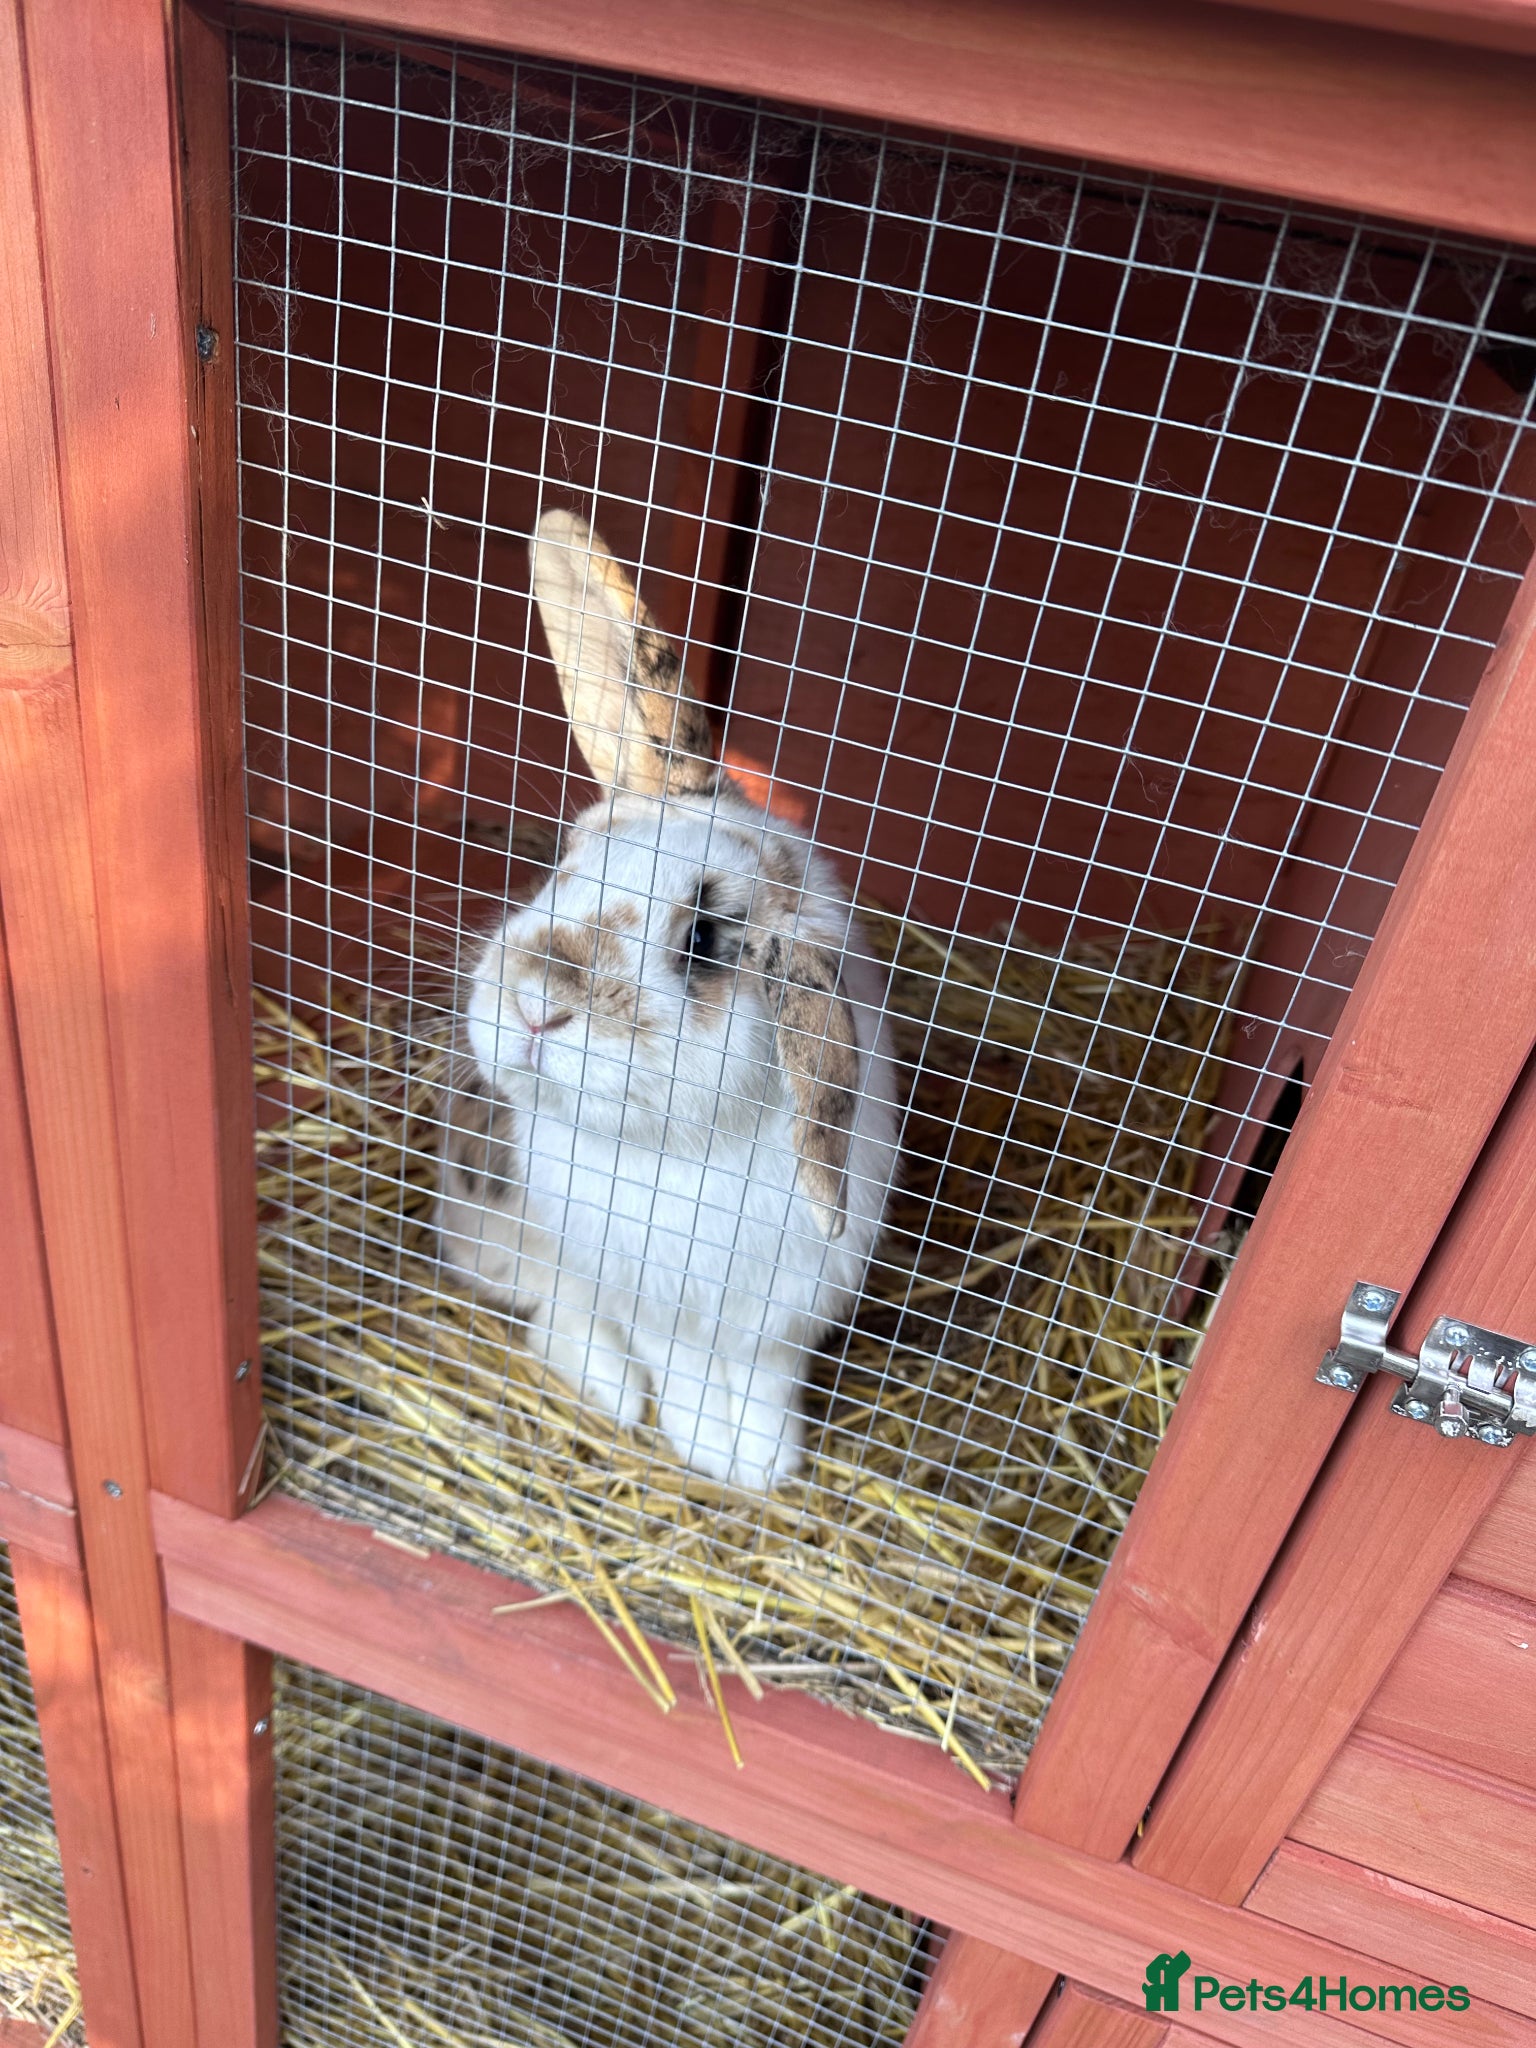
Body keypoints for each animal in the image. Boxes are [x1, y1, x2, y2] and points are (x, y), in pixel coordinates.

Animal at [436, 509, 899, 1491]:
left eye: (706, 942)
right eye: (566, 864)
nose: (536, 1005)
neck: (664, 1162)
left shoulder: (783, 1314)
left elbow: (762, 1384)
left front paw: (760, 1466)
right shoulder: (648, 1303)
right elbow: (676, 1367)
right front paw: (703, 1444)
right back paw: (610, 1391)